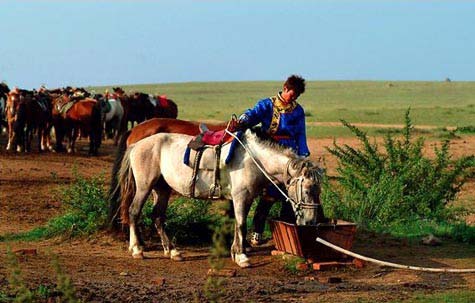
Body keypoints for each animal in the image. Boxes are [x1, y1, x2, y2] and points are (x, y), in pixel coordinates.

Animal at [117, 129, 324, 268]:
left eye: (318, 191)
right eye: (307, 190)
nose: (311, 221)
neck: (253, 159)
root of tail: (137, 145)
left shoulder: (245, 198)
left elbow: (236, 224)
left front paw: (235, 252)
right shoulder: (240, 197)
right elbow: (241, 224)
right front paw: (242, 257)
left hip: (162, 189)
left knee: (158, 217)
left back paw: (173, 251)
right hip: (145, 186)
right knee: (134, 212)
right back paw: (137, 249)